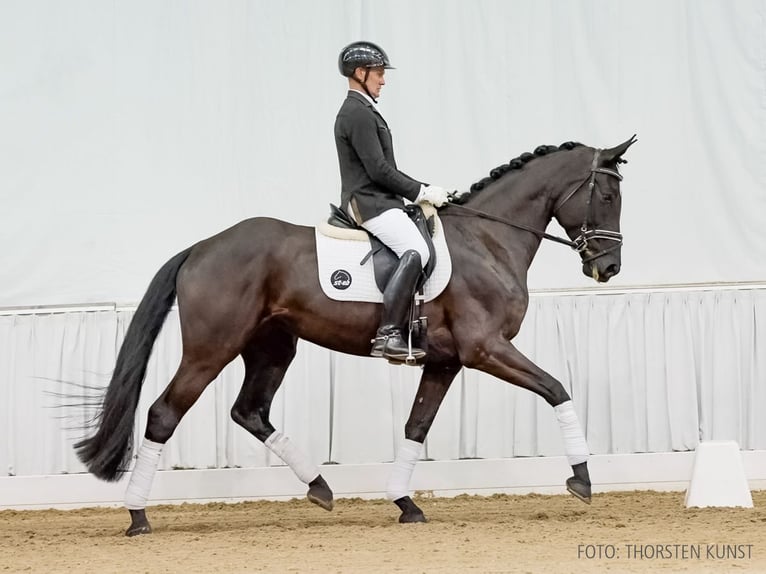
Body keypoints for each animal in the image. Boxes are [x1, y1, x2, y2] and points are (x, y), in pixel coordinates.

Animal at [75, 135, 640, 536]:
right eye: (609, 194)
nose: (608, 268)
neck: (487, 240)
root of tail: (201, 247)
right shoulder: (486, 349)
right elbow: (556, 389)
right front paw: (582, 479)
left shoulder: (446, 360)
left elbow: (416, 427)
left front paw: (405, 504)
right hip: (211, 348)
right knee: (163, 414)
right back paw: (138, 517)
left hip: (273, 346)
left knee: (249, 411)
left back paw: (321, 488)